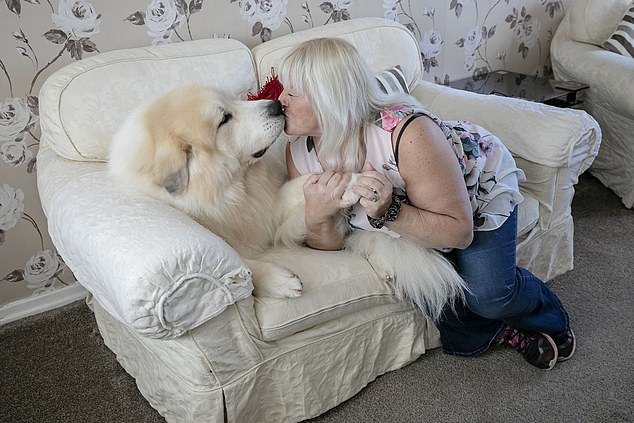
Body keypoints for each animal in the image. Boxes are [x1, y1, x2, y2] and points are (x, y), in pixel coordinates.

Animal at [108, 85, 464, 318]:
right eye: (224, 119)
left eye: (232, 102)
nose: (276, 106)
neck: (231, 188)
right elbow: (241, 264)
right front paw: (279, 280)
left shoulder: (268, 205)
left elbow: (305, 186)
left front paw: (350, 183)